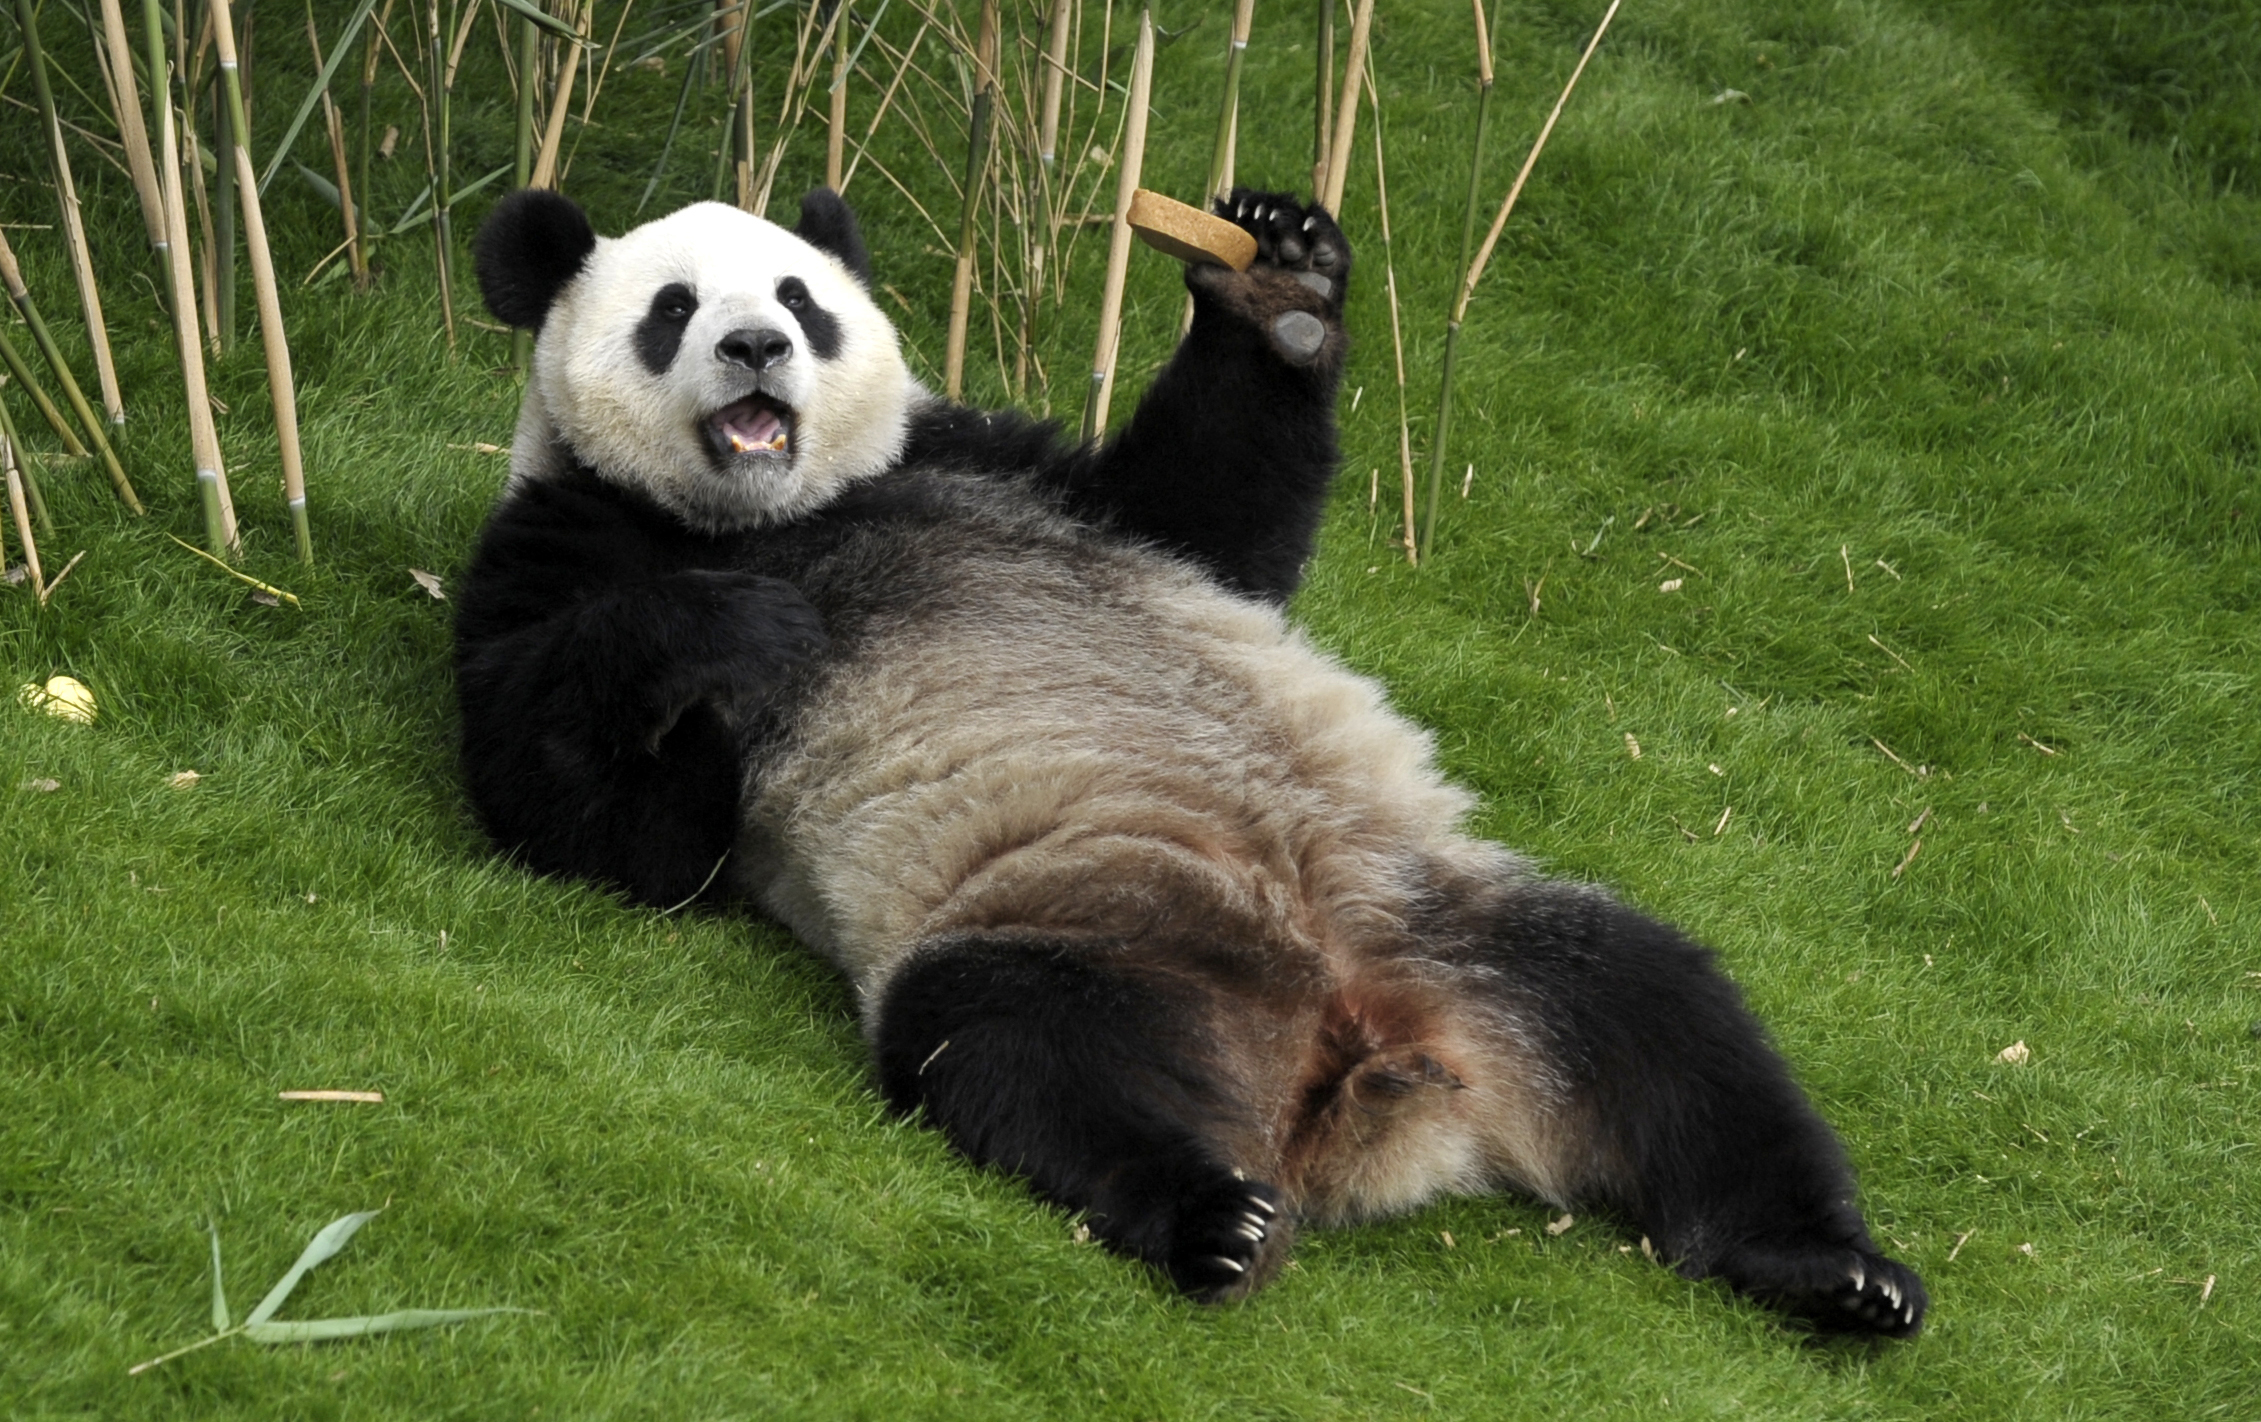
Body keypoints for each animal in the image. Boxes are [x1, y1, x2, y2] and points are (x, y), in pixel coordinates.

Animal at [454, 179, 1926, 1329]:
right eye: (672, 311)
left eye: (799, 300)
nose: (758, 346)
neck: (794, 507)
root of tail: (1362, 1056)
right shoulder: (573, 531)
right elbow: (601, 825)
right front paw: (730, 628)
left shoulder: (991, 453)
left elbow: (1208, 520)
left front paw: (1279, 276)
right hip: (1093, 923)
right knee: (1024, 1052)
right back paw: (1217, 1220)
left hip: (1453, 922)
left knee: (1667, 1023)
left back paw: (1830, 1266)